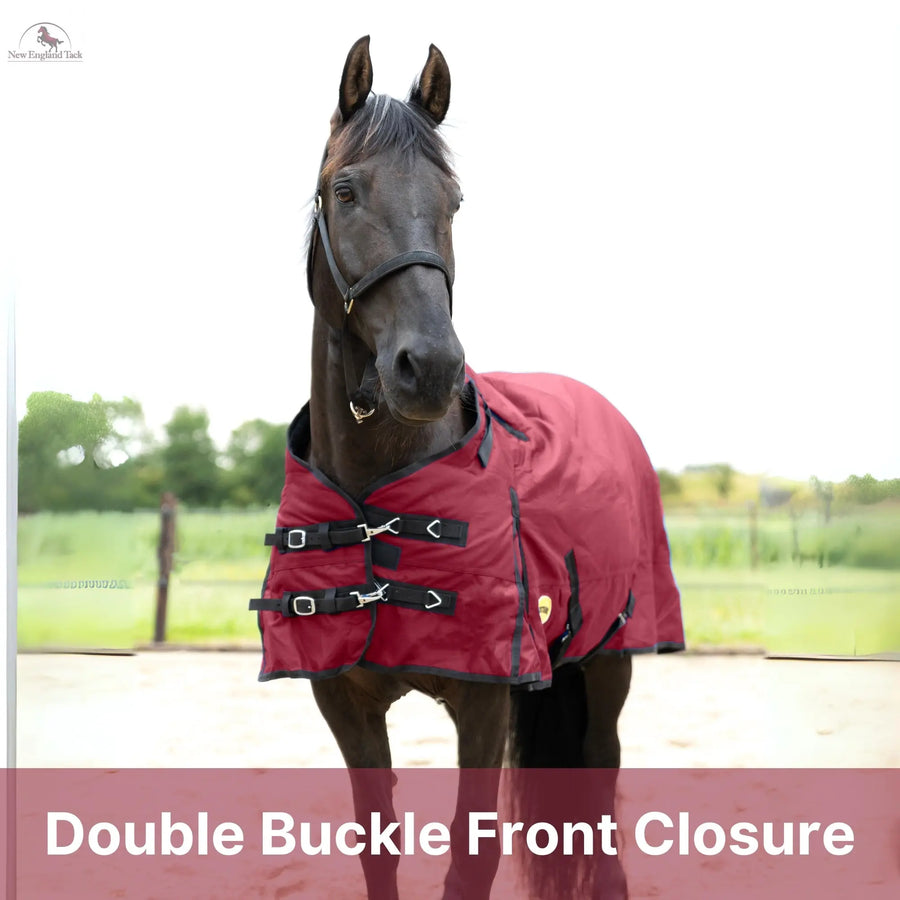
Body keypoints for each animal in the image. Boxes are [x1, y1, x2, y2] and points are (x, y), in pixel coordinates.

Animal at [251, 36, 684, 899]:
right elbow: (378, 848)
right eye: (345, 190)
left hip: (609, 667)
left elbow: (470, 857)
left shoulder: (485, 706)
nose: (431, 369)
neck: (377, 492)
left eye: (453, 200)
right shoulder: (345, 706)